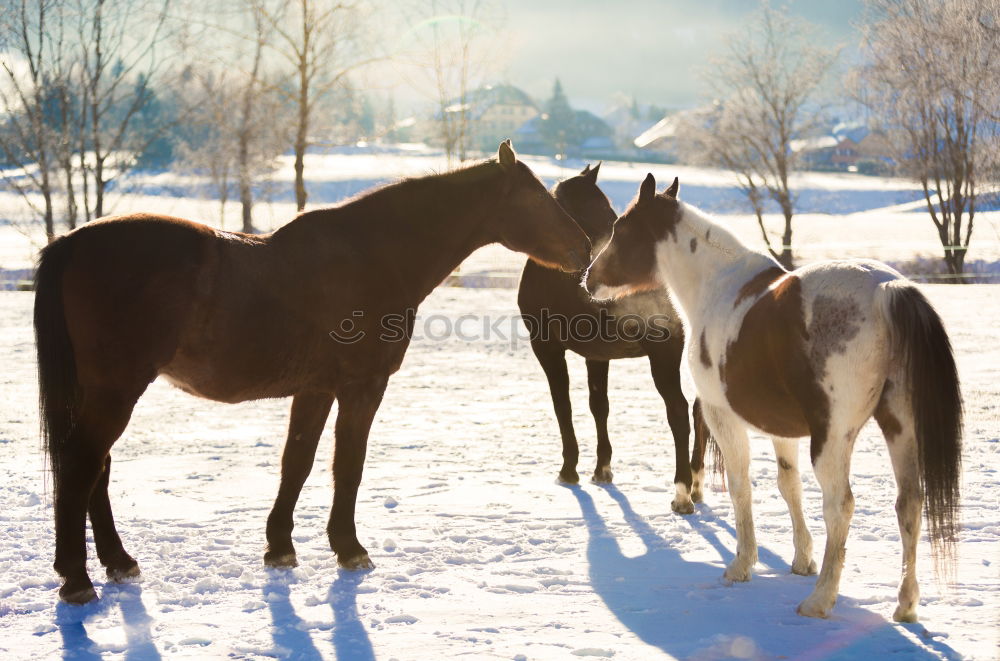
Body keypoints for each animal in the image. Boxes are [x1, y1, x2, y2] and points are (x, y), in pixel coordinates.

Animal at [35, 141, 588, 604]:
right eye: (538, 197)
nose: (585, 249)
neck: (374, 255)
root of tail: (72, 242)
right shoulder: (362, 387)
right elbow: (349, 464)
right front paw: (349, 548)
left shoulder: (317, 390)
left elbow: (296, 463)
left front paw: (280, 548)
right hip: (116, 391)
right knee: (82, 466)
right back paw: (78, 578)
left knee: (97, 470)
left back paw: (118, 562)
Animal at [516, 162, 712, 512]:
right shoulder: (597, 355)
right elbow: (599, 406)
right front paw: (602, 469)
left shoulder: (547, 347)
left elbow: (562, 404)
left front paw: (569, 470)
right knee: (699, 411)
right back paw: (697, 485)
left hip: (664, 354)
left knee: (679, 411)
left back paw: (682, 493)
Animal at [584, 174, 960, 620]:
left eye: (621, 228)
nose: (588, 278)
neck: (718, 287)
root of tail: (887, 288)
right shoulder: (783, 430)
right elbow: (788, 485)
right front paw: (802, 560)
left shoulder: (722, 417)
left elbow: (740, 486)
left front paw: (742, 564)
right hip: (900, 427)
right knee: (910, 504)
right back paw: (904, 605)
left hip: (834, 439)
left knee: (841, 506)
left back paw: (820, 599)